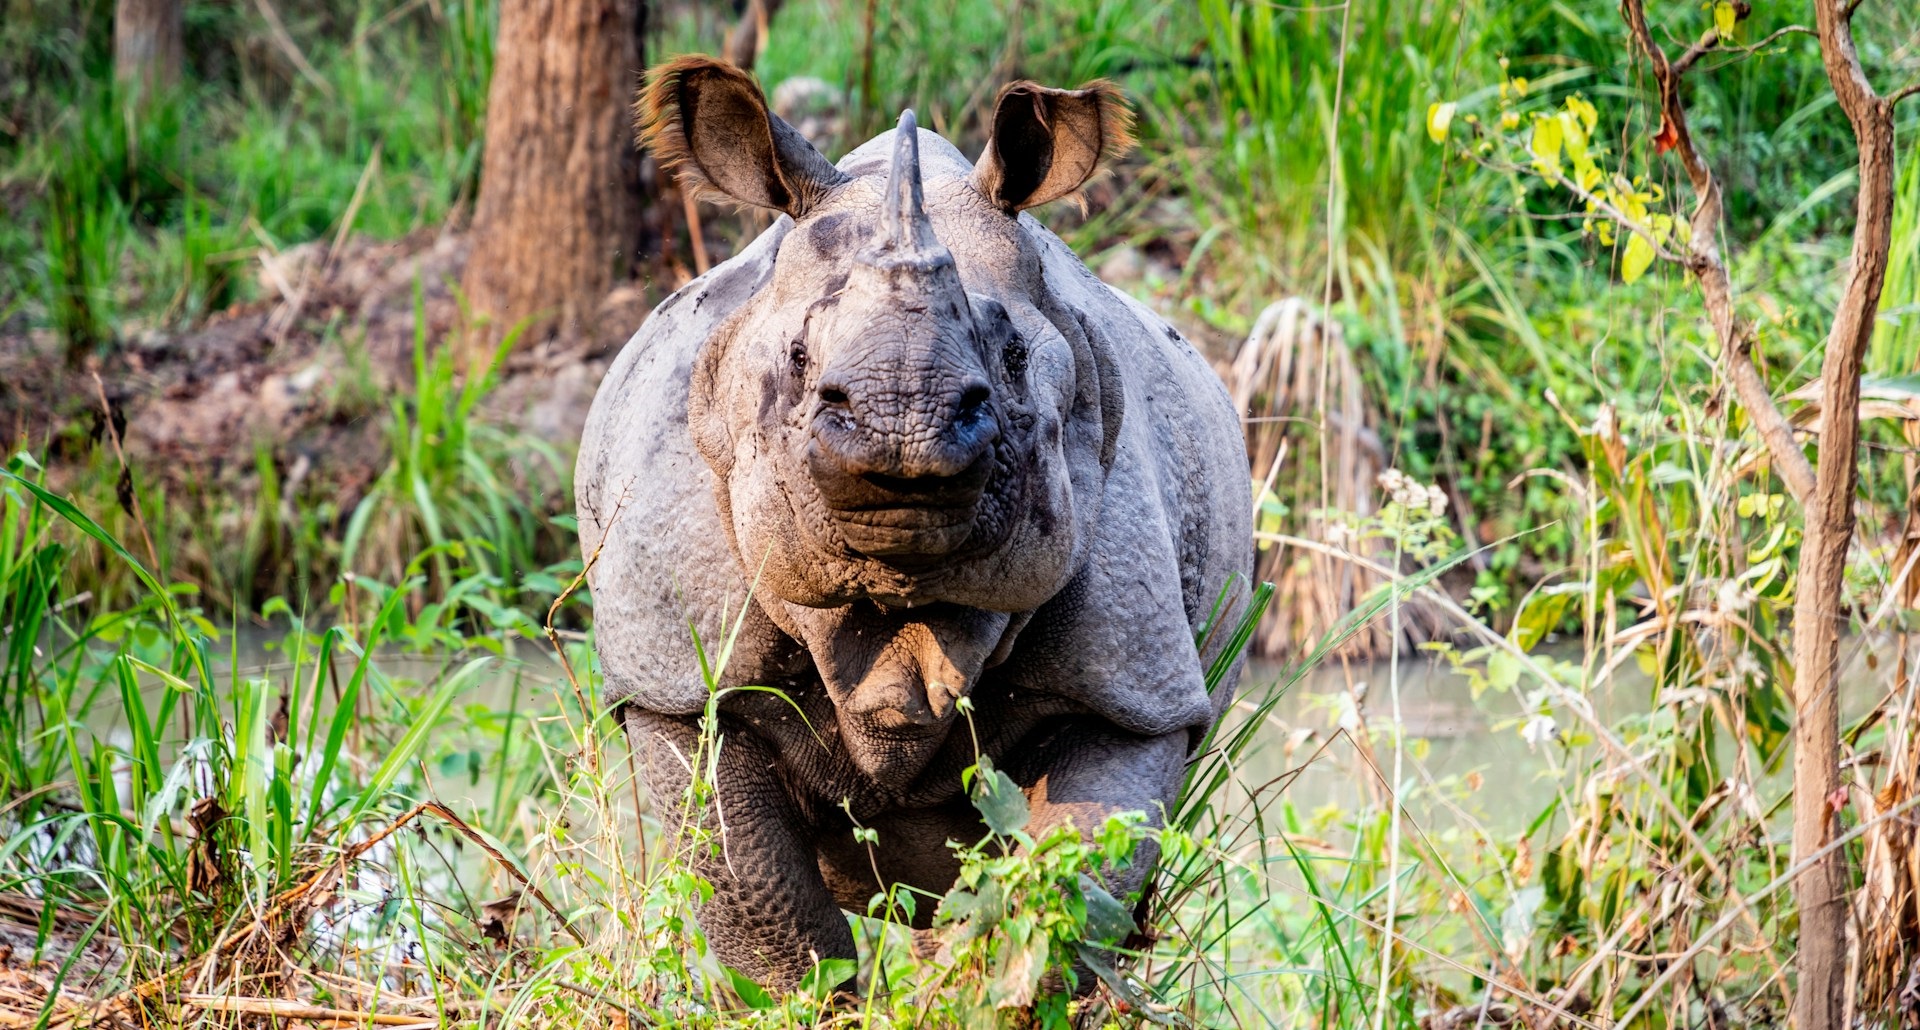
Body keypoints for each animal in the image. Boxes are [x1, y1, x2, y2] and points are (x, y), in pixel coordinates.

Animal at [572, 56, 1259, 991]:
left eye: (1013, 358)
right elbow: (764, 908)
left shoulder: (1132, 687)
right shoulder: (680, 679)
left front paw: (973, 990)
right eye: (797, 358)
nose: (905, 424)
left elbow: (1066, 890)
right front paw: (830, 998)